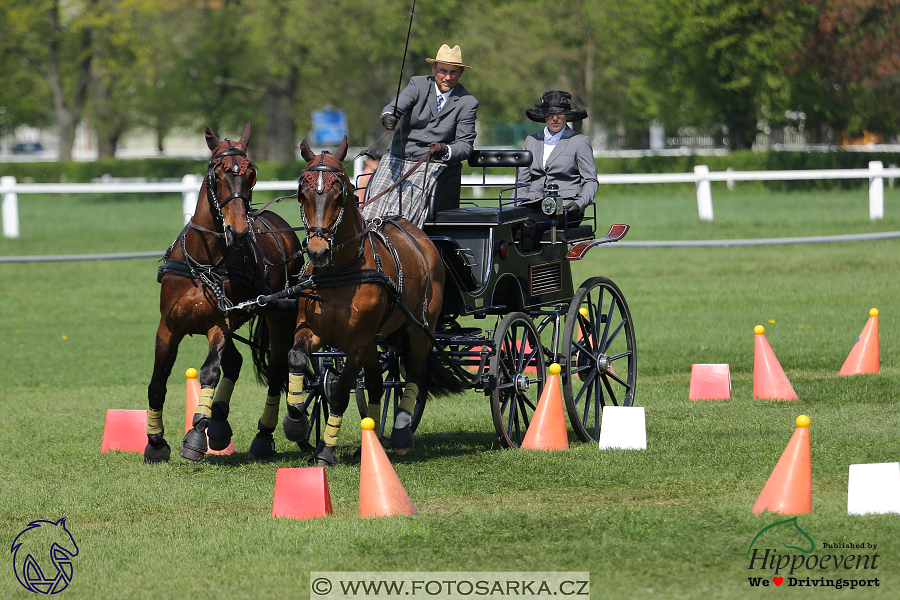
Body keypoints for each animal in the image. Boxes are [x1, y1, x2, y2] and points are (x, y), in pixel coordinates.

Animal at [145, 123, 306, 464]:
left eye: (251, 174)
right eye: (217, 173)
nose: (239, 230)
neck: (204, 262)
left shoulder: (219, 324)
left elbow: (209, 372)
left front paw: (195, 434)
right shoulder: (168, 327)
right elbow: (157, 383)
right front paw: (155, 442)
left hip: (279, 316)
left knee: (276, 370)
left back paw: (264, 435)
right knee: (235, 362)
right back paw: (218, 423)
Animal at [290, 138, 464, 466]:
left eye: (339, 193)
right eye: (302, 193)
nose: (318, 251)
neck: (341, 272)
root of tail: (422, 237)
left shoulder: (357, 342)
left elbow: (340, 390)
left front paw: (325, 450)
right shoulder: (313, 329)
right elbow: (296, 358)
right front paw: (295, 420)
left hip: (419, 328)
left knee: (416, 372)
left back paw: (401, 433)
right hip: (376, 339)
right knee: (374, 383)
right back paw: (370, 440)